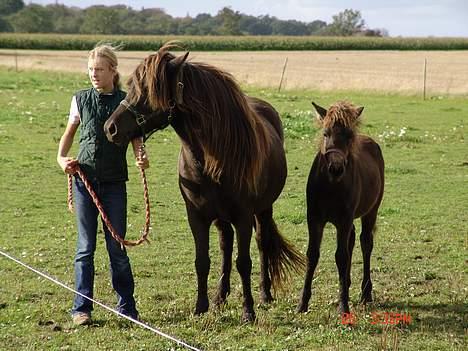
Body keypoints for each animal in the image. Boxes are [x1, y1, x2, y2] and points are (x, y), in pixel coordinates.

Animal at [103, 42, 304, 324]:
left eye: (148, 90)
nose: (110, 128)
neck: (210, 157)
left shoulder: (243, 216)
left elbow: (244, 262)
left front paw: (248, 311)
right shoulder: (197, 216)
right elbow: (203, 260)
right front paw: (201, 307)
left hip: (263, 210)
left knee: (262, 244)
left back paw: (264, 294)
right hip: (221, 217)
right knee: (225, 246)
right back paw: (220, 297)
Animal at [296, 100, 384, 314]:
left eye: (349, 136)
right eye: (325, 133)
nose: (335, 168)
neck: (331, 185)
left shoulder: (343, 220)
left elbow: (341, 257)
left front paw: (343, 305)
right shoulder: (314, 219)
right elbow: (312, 255)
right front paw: (303, 303)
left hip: (371, 211)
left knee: (365, 242)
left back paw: (365, 292)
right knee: (352, 240)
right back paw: (348, 284)